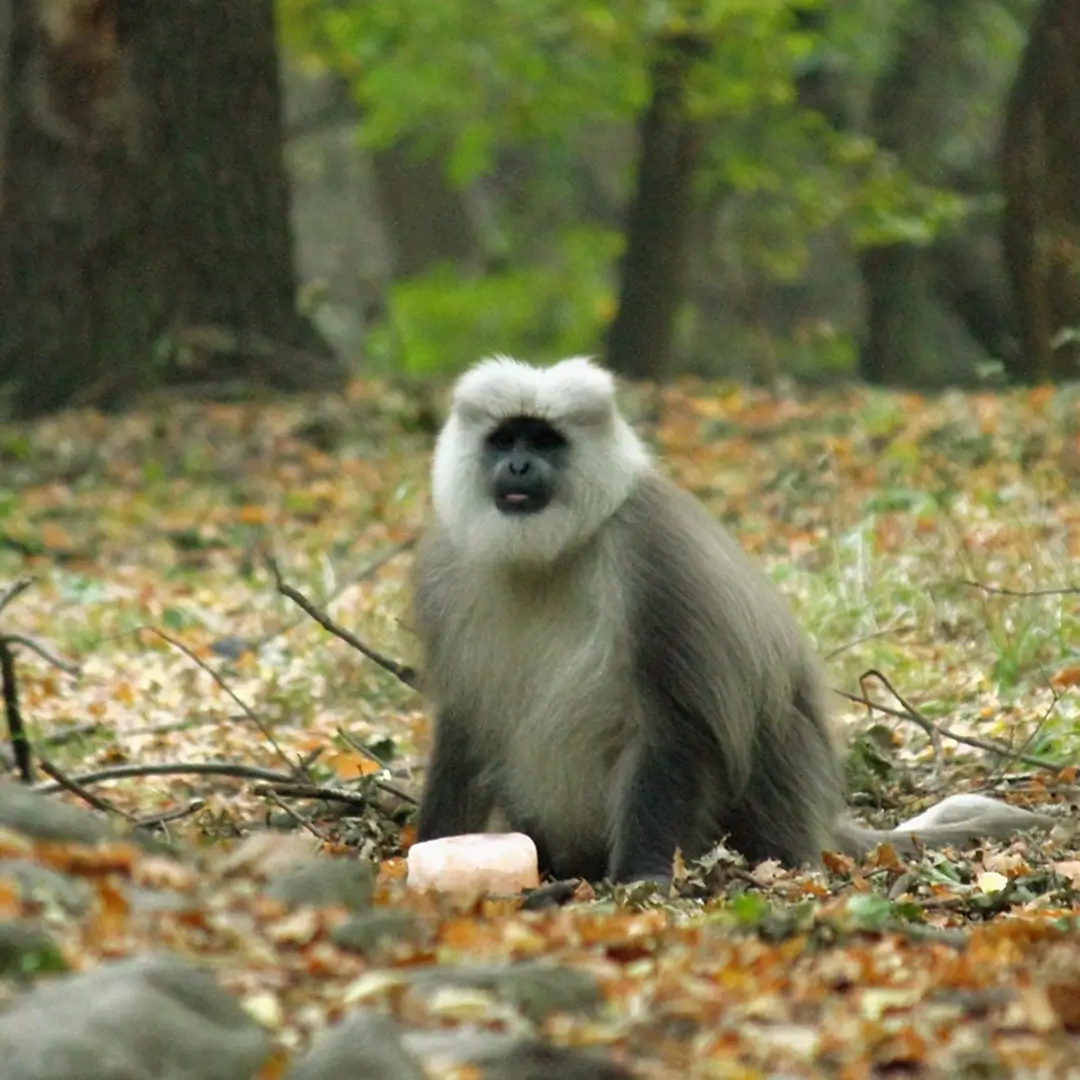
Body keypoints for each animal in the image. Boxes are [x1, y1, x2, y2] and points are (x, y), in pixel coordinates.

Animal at [410, 358, 1054, 881]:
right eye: (505, 440)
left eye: (545, 442)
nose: (519, 466)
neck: (549, 556)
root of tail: (816, 827)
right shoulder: (447, 568)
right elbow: (465, 729)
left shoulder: (653, 554)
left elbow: (678, 722)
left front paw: (643, 878)